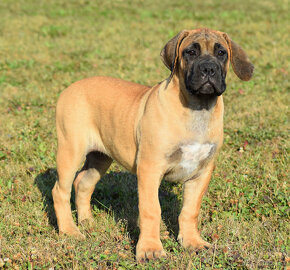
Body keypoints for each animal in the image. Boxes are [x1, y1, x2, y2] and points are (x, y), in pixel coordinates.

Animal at [52, 28, 254, 262]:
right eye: (190, 52)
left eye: (221, 53)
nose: (208, 68)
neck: (197, 108)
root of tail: (70, 88)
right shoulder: (150, 169)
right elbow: (151, 210)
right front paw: (150, 249)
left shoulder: (201, 173)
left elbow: (190, 210)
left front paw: (192, 242)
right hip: (71, 150)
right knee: (60, 190)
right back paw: (70, 231)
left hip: (100, 157)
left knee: (83, 183)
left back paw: (87, 222)